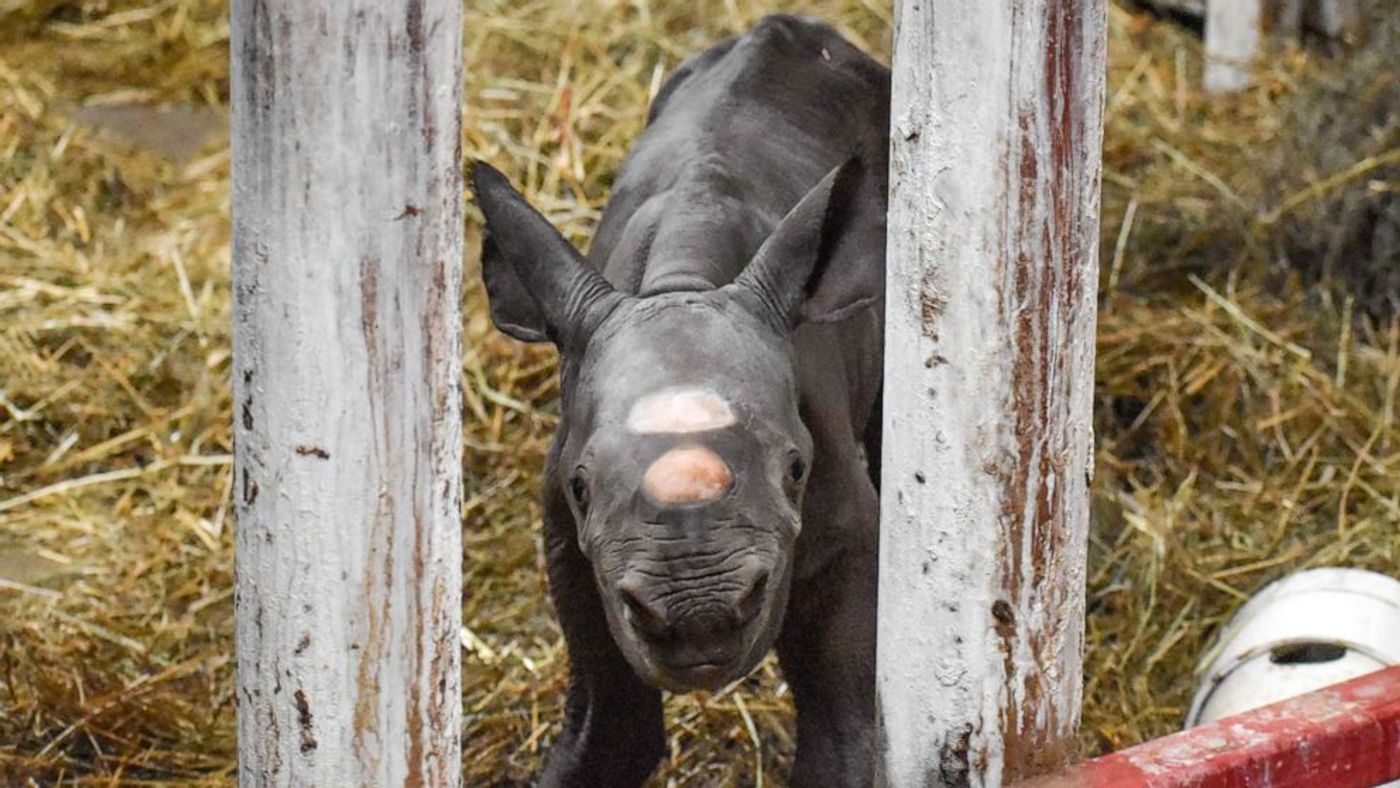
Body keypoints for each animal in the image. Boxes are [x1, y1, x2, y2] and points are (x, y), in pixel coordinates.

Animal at [470, 15, 884, 783]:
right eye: (579, 487)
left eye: (797, 469)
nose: (700, 616)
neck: (683, 281)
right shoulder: (572, 546)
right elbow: (611, 727)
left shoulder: (844, 528)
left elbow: (847, 727)